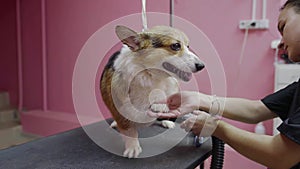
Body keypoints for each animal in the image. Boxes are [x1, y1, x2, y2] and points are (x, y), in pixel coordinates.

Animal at [99, 25, 205, 158]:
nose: (202, 66)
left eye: (188, 46)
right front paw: (132, 147)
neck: (149, 76)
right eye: (176, 45)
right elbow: (128, 130)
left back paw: (166, 121)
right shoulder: (119, 109)